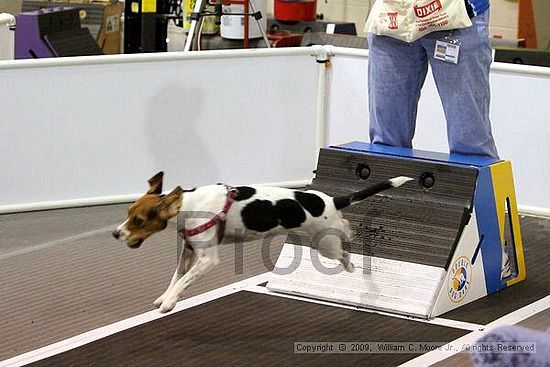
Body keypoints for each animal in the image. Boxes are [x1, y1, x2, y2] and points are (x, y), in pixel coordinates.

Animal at [113, 172, 414, 314]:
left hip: (325, 244)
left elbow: (184, 282)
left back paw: (350, 259)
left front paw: (169, 303)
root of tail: (330, 200)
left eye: (138, 220)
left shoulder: (207, 260)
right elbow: (176, 279)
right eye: (128, 213)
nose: (116, 234)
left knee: (344, 246)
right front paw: (165, 297)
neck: (187, 205)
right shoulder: (188, 253)